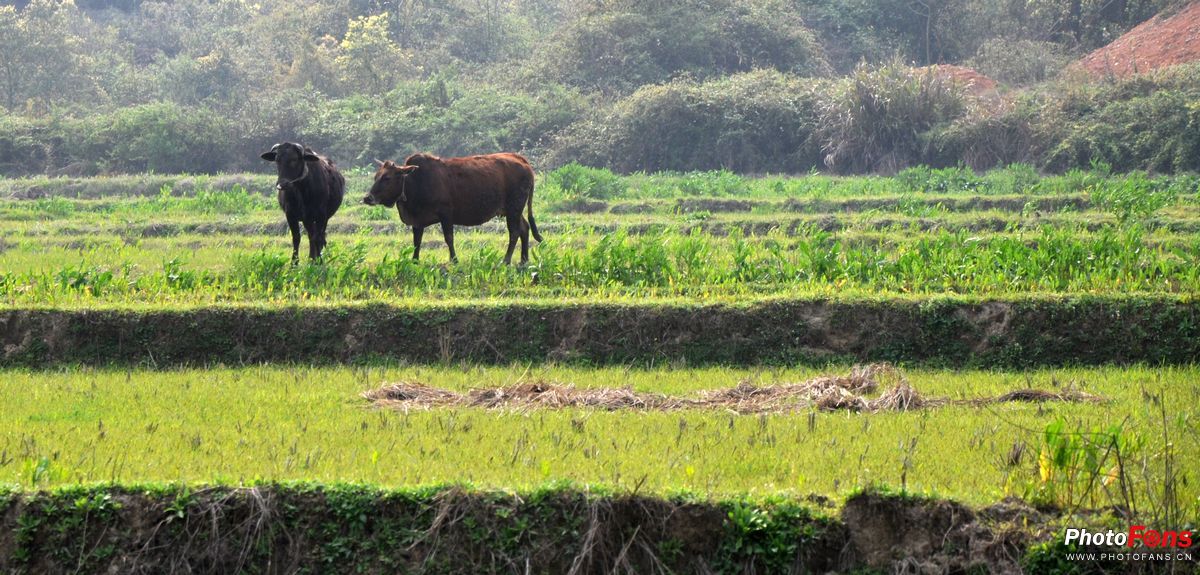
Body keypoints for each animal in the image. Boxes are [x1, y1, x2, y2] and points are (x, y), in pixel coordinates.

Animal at [357, 149, 542, 264]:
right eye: (376, 176)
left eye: (387, 178)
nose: (368, 198)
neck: (415, 182)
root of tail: (522, 161)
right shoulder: (418, 221)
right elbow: (417, 241)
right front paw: (414, 260)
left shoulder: (446, 214)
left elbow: (449, 238)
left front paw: (454, 260)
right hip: (513, 210)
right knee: (525, 228)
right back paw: (524, 260)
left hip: (514, 208)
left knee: (515, 232)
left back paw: (506, 260)